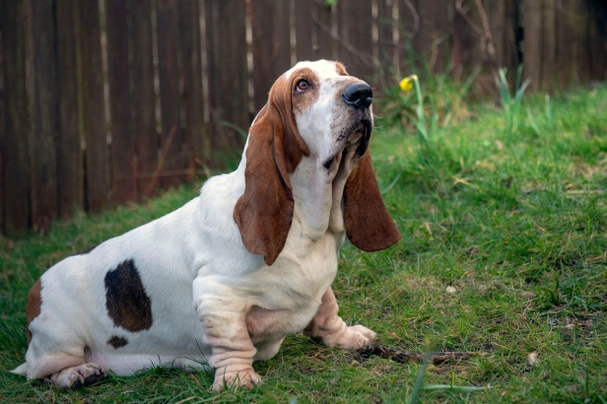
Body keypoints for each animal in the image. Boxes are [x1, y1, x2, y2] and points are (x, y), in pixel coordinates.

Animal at [11, 60, 402, 392]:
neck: (307, 225)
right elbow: (235, 342)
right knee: (37, 372)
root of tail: (34, 289)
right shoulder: (217, 298)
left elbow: (327, 313)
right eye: (302, 85)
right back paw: (78, 373)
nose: (362, 93)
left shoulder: (320, 287)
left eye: (343, 72)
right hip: (60, 341)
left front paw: (349, 337)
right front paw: (237, 379)